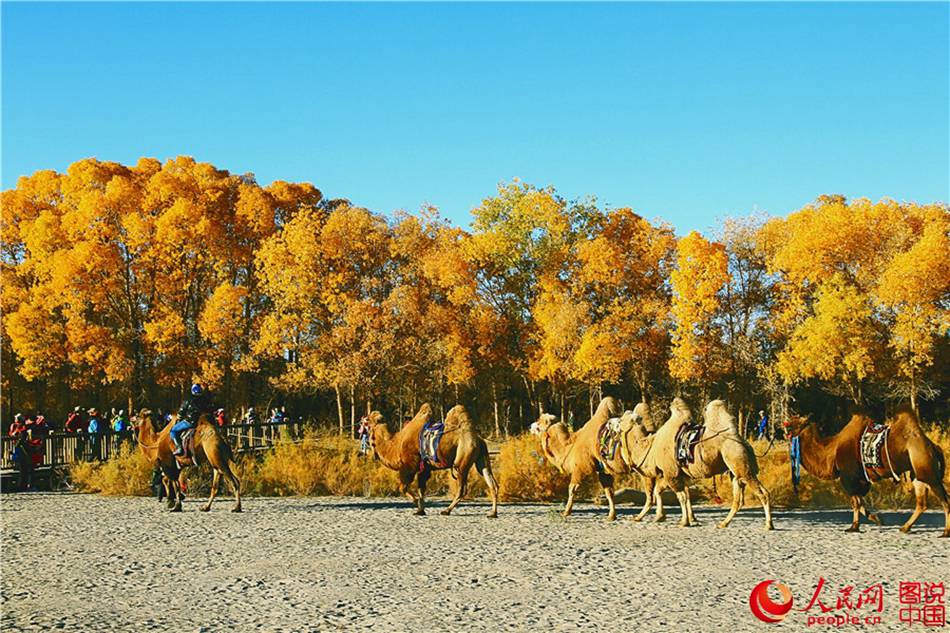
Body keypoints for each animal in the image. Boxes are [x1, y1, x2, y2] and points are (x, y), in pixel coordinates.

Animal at [364, 402, 502, 516]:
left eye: (367, 421)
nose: (362, 419)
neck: (395, 445)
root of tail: (478, 438)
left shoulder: (409, 466)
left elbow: (403, 487)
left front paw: (416, 503)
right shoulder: (424, 469)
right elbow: (421, 488)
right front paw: (420, 510)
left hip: (461, 461)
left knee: (462, 488)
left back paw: (446, 510)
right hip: (482, 459)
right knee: (492, 482)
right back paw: (493, 513)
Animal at [784, 408, 948, 536]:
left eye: (796, 422)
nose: (785, 426)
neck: (832, 451)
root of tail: (933, 446)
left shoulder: (849, 477)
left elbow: (855, 502)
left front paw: (854, 527)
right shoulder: (861, 479)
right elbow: (859, 501)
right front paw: (876, 519)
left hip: (927, 470)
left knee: (944, 500)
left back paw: (945, 532)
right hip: (917, 474)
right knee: (922, 503)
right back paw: (905, 528)